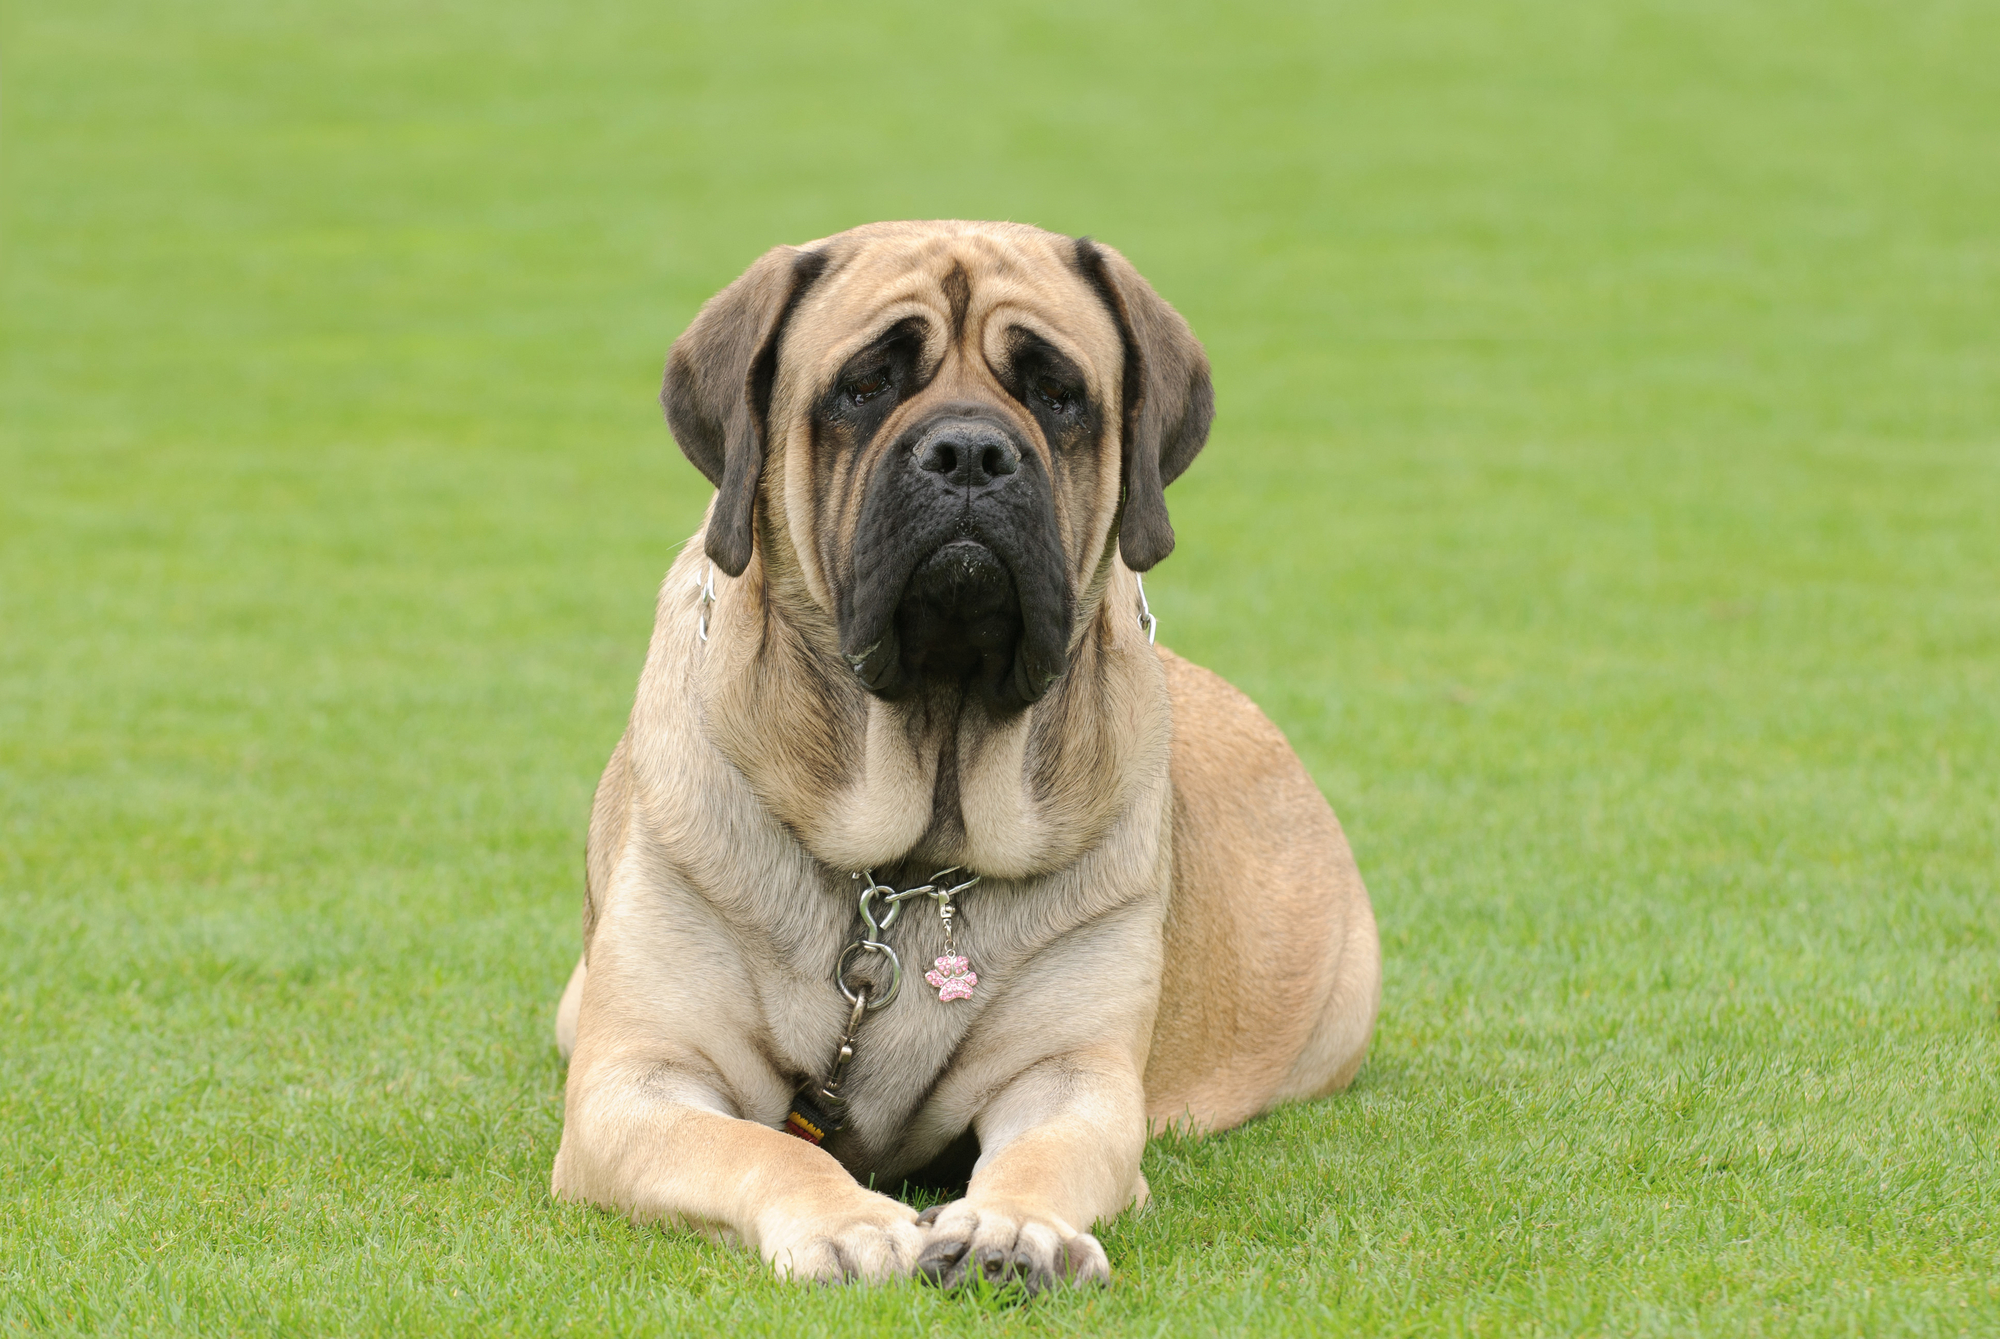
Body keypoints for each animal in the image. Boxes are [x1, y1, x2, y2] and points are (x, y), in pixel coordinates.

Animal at [556, 219, 1384, 1287]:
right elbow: (764, 1144)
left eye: (1057, 393)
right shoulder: (632, 1083)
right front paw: (846, 1220)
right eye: (865, 384)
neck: (911, 857)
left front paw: (1013, 1227)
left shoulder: (1072, 1076)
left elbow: (1045, 1151)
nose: (969, 451)